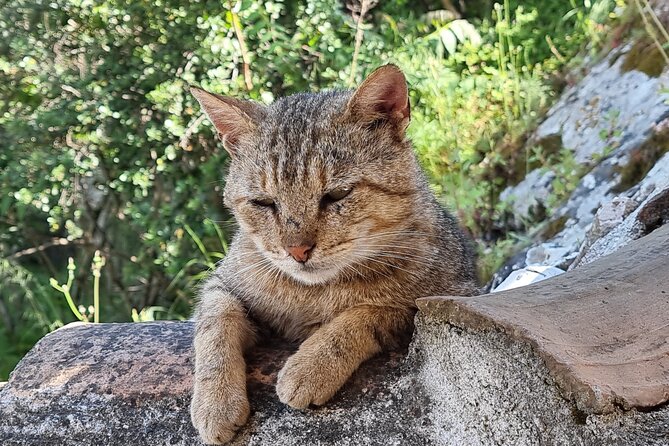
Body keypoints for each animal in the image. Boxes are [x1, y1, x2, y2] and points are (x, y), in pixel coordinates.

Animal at [189, 64, 480, 444]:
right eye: (263, 203)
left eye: (337, 194)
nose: (297, 250)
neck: (311, 293)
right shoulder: (223, 282)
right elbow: (214, 323)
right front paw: (215, 401)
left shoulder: (449, 297)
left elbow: (368, 312)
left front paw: (311, 365)